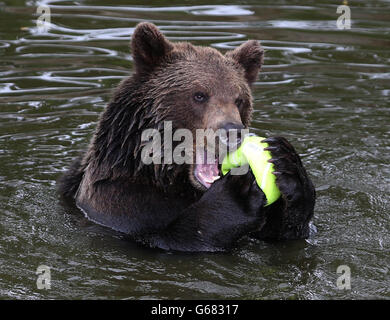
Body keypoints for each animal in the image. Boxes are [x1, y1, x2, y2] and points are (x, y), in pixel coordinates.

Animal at [58, 22, 316, 252]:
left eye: (239, 99)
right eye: (199, 95)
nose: (232, 131)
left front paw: (287, 163)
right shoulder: (121, 204)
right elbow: (170, 238)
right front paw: (237, 191)